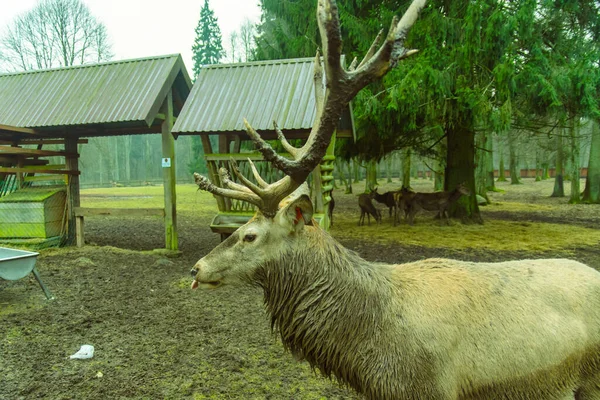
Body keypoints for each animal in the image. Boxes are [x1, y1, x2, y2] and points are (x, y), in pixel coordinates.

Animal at [190, 0, 600, 400]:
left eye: (250, 235)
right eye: (242, 226)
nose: (196, 269)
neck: (374, 357)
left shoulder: (433, 389)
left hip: (591, 379)